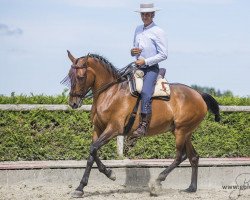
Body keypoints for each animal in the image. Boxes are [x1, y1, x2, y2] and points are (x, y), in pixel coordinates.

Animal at [62, 50, 221, 197]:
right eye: (69, 76)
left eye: (81, 77)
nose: (73, 103)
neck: (110, 93)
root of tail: (199, 94)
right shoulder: (98, 129)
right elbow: (92, 154)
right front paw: (82, 187)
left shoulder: (113, 129)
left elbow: (93, 148)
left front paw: (108, 174)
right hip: (184, 132)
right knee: (193, 156)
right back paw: (191, 188)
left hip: (181, 131)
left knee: (179, 156)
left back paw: (158, 182)